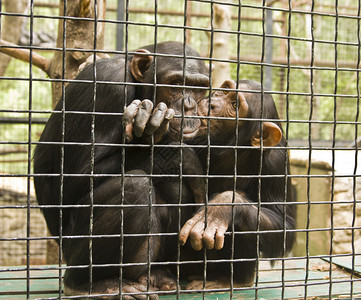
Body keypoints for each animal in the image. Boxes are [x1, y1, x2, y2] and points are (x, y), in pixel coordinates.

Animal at [33, 41, 208, 298]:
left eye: (198, 88)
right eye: (176, 84)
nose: (189, 105)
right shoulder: (109, 86)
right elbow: (76, 178)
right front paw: (173, 151)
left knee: (175, 186)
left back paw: (156, 274)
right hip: (72, 247)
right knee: (135, 187)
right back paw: (88, 283)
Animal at [179, 78, 294, 290]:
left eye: (235, 105)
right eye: (224, 91)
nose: (212, 103)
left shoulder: (277, 163)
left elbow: (285, 225)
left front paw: (221, 207)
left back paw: (231, 280)